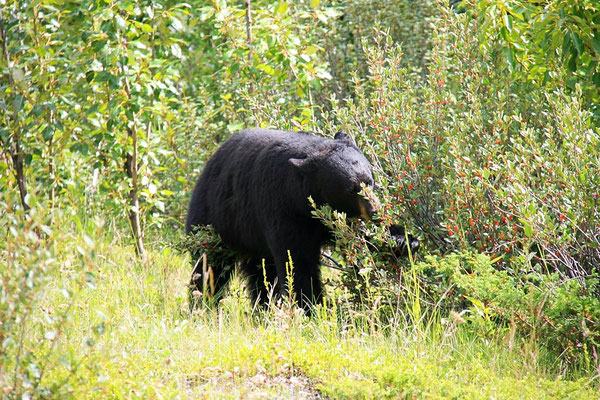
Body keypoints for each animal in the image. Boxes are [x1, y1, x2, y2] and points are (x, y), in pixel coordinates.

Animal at [186, 130, 380, 310]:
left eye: (369, 181)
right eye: (351, 189)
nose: (375, 211)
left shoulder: (339, 220)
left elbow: (365, 241)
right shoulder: (283, 209)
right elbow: (297, 261)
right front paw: (311, 305)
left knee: (262, 272)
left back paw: (263, 307)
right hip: (213, 220)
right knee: (209, 267)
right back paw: (201, 304)